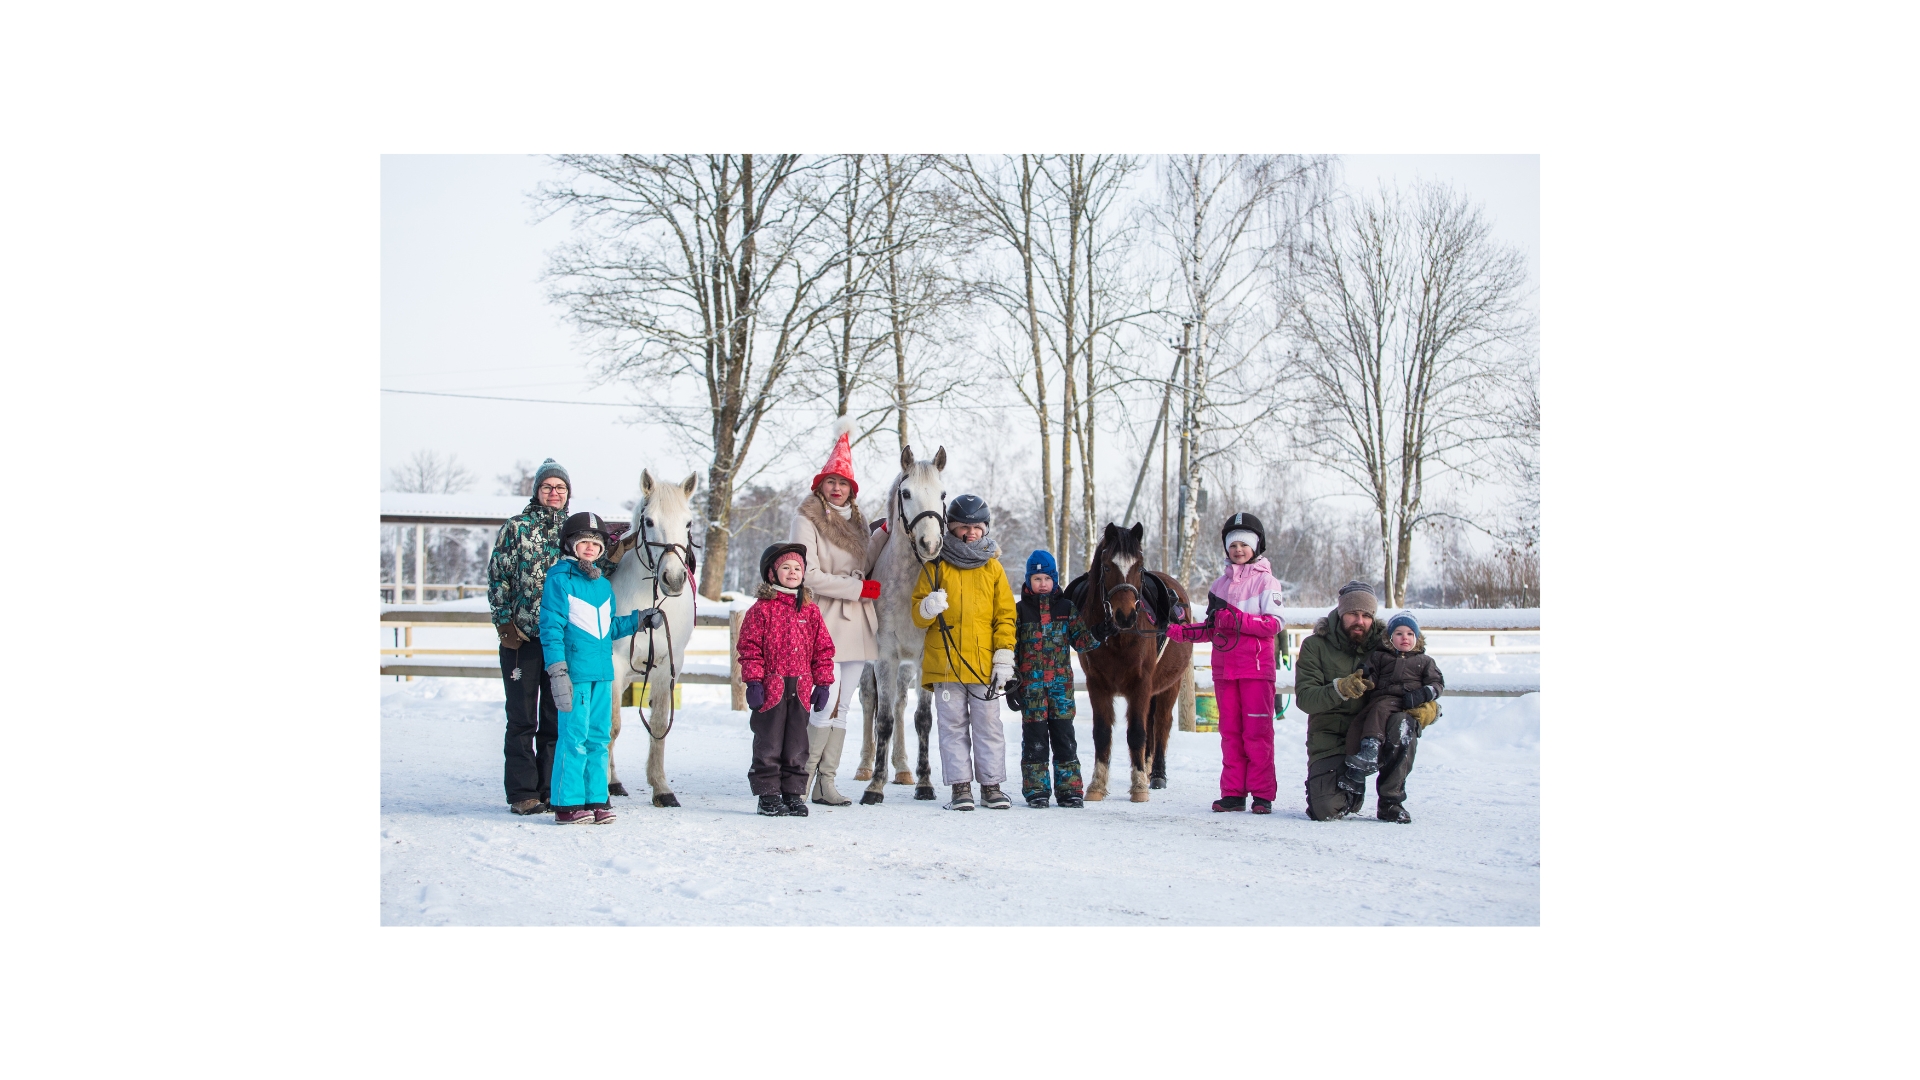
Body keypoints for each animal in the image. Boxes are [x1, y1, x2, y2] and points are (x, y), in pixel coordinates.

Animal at [606, 466, 698, 803]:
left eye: (688, 522)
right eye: (649, 521)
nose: (673, 578)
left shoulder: (667, 665)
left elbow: (658, 725)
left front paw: (661, 787)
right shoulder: (614, 664)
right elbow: (612, 726)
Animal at [1082, 522, 1182, 799]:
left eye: (1139, 566)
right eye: (1107, 566)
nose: (1125, 615)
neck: (1120, 639)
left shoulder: (1141, 684)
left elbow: (1137, 733)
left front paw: (1138, 787)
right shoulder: (1097, 684)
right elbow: (1102, 733)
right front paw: (1097, 785)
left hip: (1170, 687)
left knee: (1161, 727)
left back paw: (1156, 775)